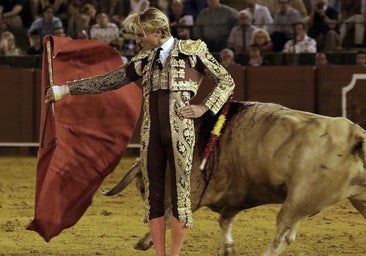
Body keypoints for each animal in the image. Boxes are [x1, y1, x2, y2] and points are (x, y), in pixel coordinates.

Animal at [100, 101, 366, 255]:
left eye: (142, 187)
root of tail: (355, 135)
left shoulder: (193, 194)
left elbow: (170, 218)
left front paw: (144, 241)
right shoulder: (236, 194)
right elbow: (225, 219)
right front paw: (228, 247)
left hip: (298, 201)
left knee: (282, 236)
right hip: (353, 199)